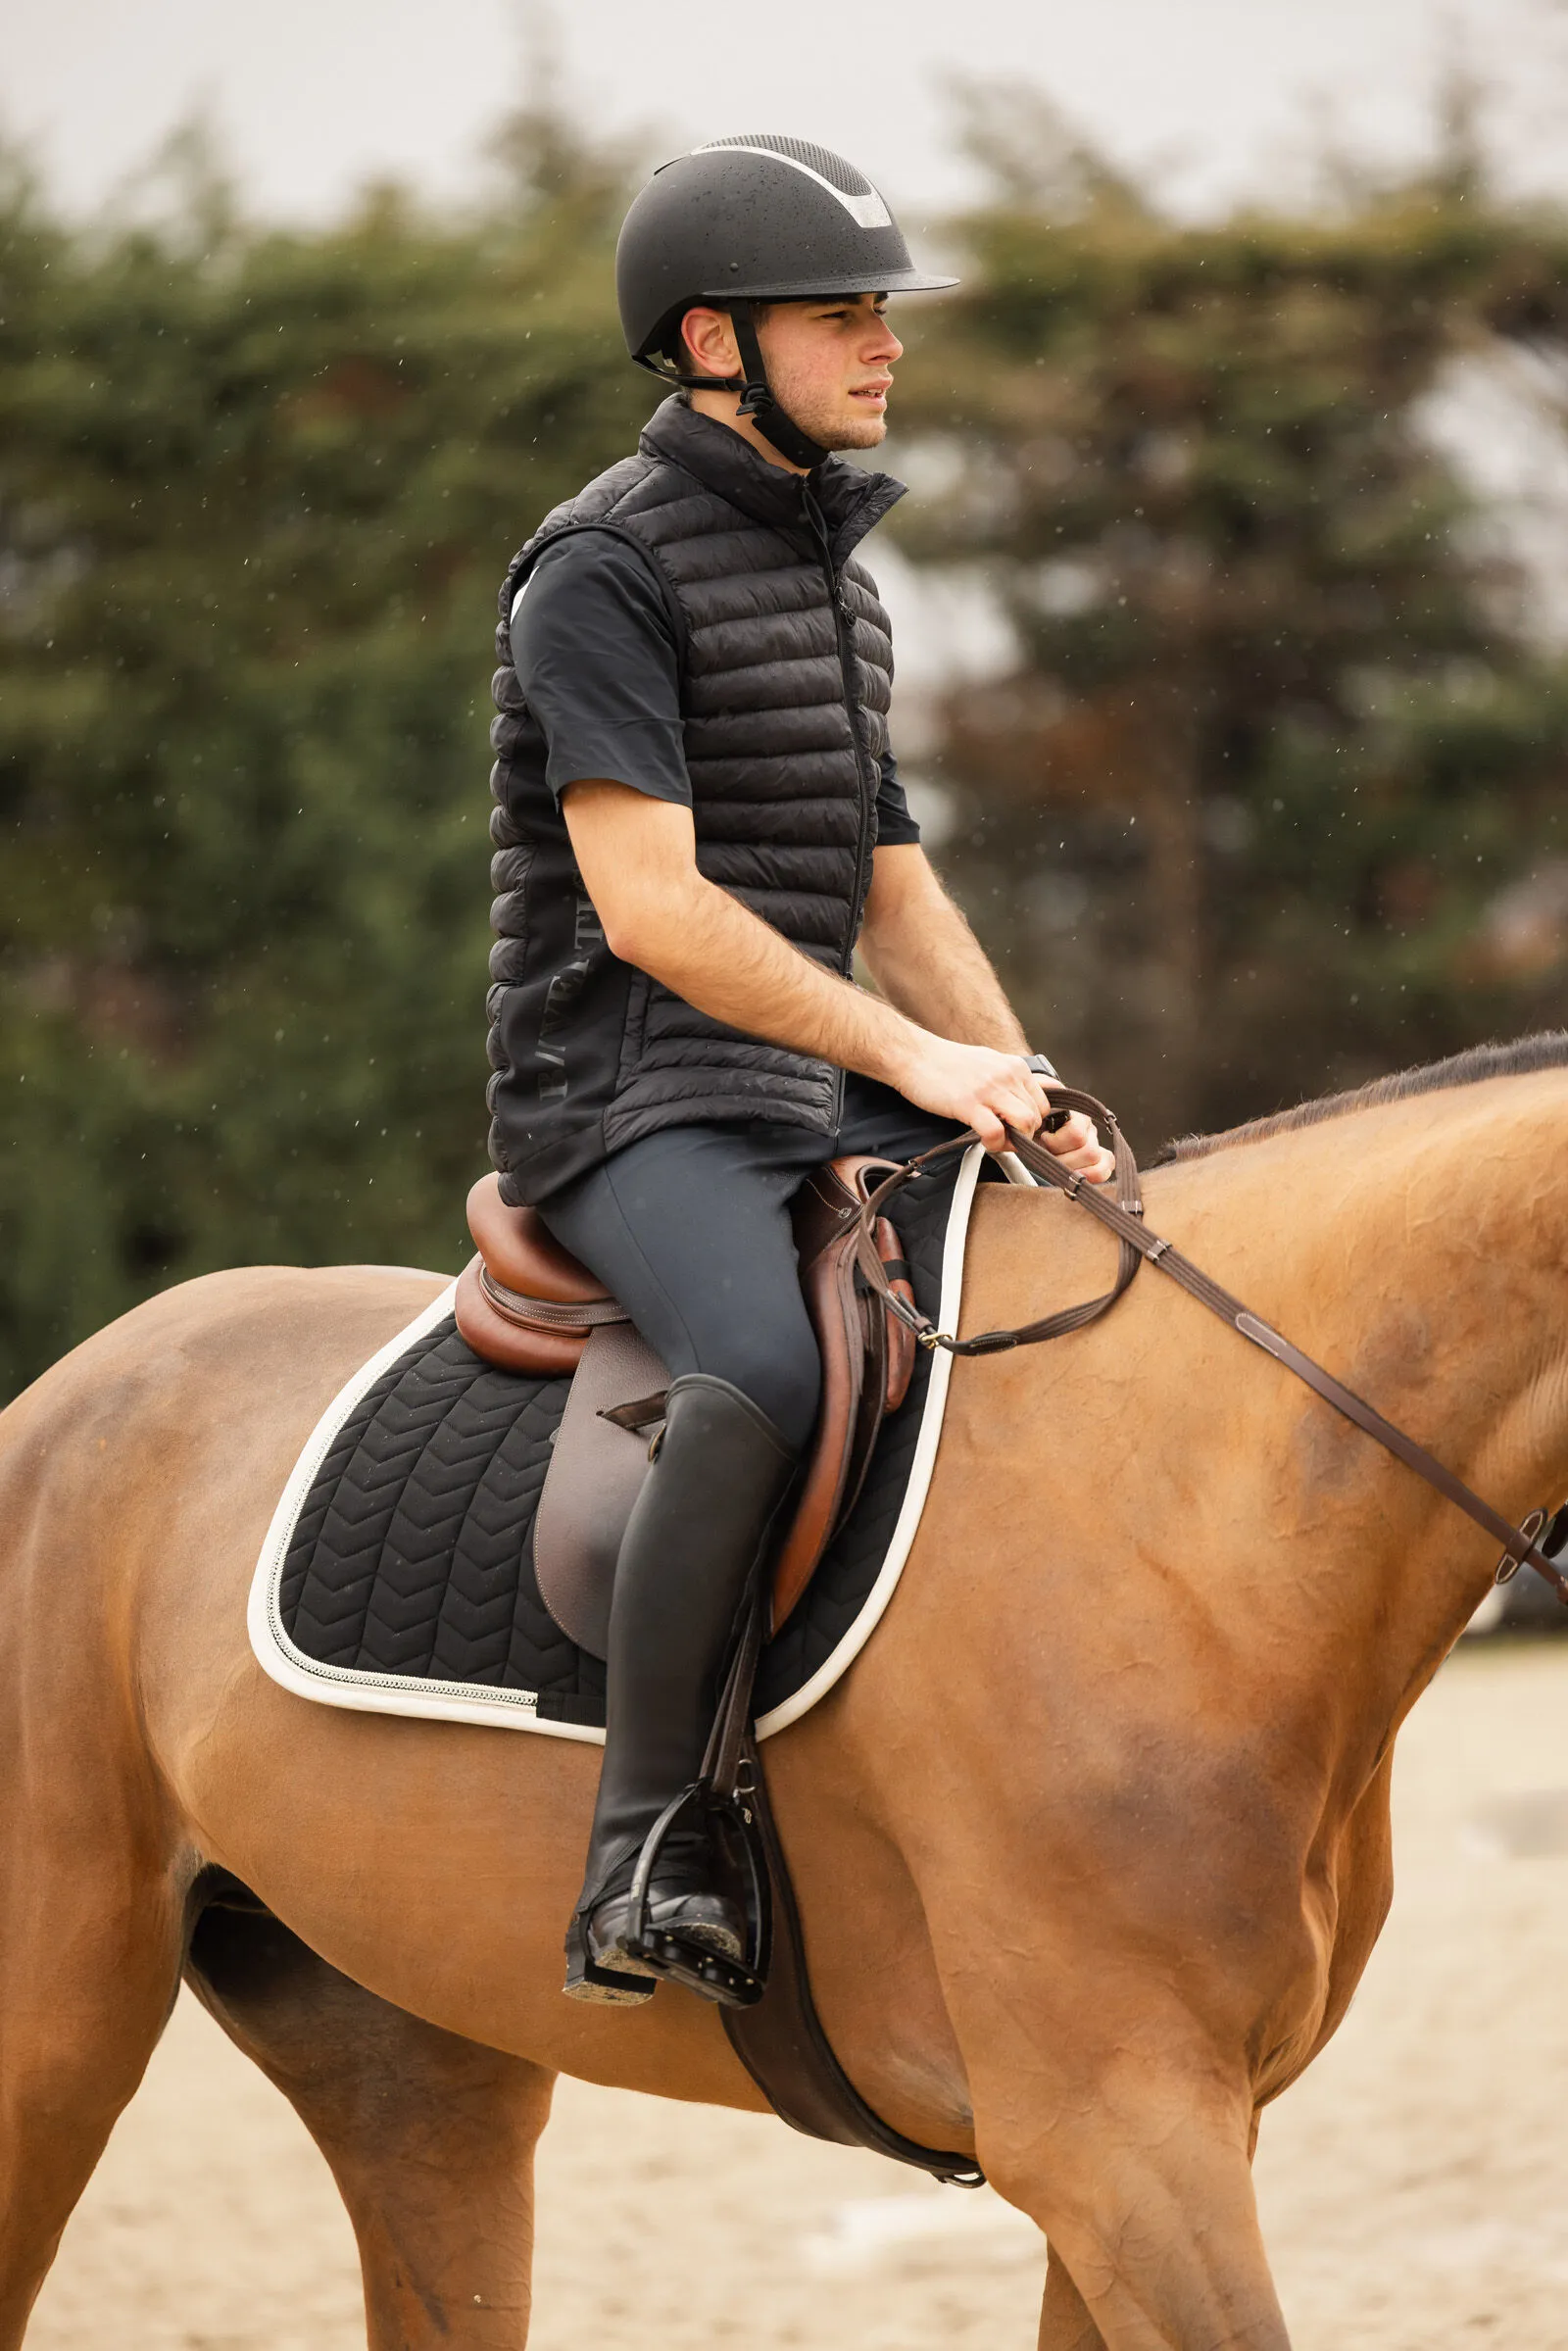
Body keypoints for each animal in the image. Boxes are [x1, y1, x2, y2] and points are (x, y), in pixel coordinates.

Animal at [3, 1048, 1568, 2351]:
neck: (1193, 1499)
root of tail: (70, 1383)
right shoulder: (1121, 2141)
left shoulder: (1150, 2153)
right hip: (56, 2033)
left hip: (412, 2066)